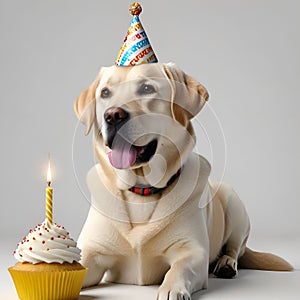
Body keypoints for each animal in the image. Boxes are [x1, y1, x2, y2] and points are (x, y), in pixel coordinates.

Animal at [74, 62, 292, 298]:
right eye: (105, 93)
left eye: (147, 88)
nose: (113, 115)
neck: (142, 190)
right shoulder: (92, 250)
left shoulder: (193, 251)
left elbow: (179, 268)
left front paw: (171, 289)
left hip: (234, 204)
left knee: (235, 248)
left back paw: (226, 263)